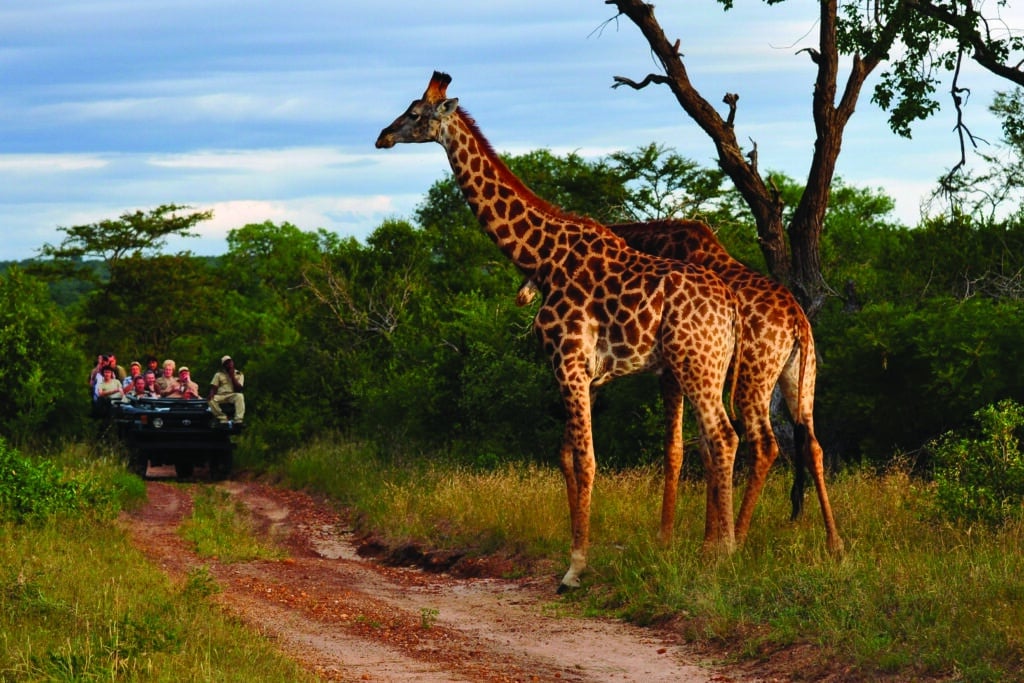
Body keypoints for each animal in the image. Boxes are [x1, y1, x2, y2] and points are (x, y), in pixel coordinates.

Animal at [376, 72, 743, 590]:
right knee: (713, 444)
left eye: (414, 114)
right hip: (703, 368)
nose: (382, 136)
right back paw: (713, 548)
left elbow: (587, 460)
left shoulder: (568, 363)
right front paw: (574, 557)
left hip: (697, 365)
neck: (541, 257)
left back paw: (723, 555)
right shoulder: (580, 373)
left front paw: (575, 569)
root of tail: (729, 308)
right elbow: (567, 458)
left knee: (724, 438)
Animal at [518, 219, 843, 554]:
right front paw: (709, 539)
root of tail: (798, 322)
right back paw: (834, 542)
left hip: (753, 377)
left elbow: (683, 447)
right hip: (800, 378)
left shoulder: (672, 373)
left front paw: (683, 539)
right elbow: (705, 448)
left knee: (765, 444)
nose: (523, 296)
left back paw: (740, 535)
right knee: (813, 444)